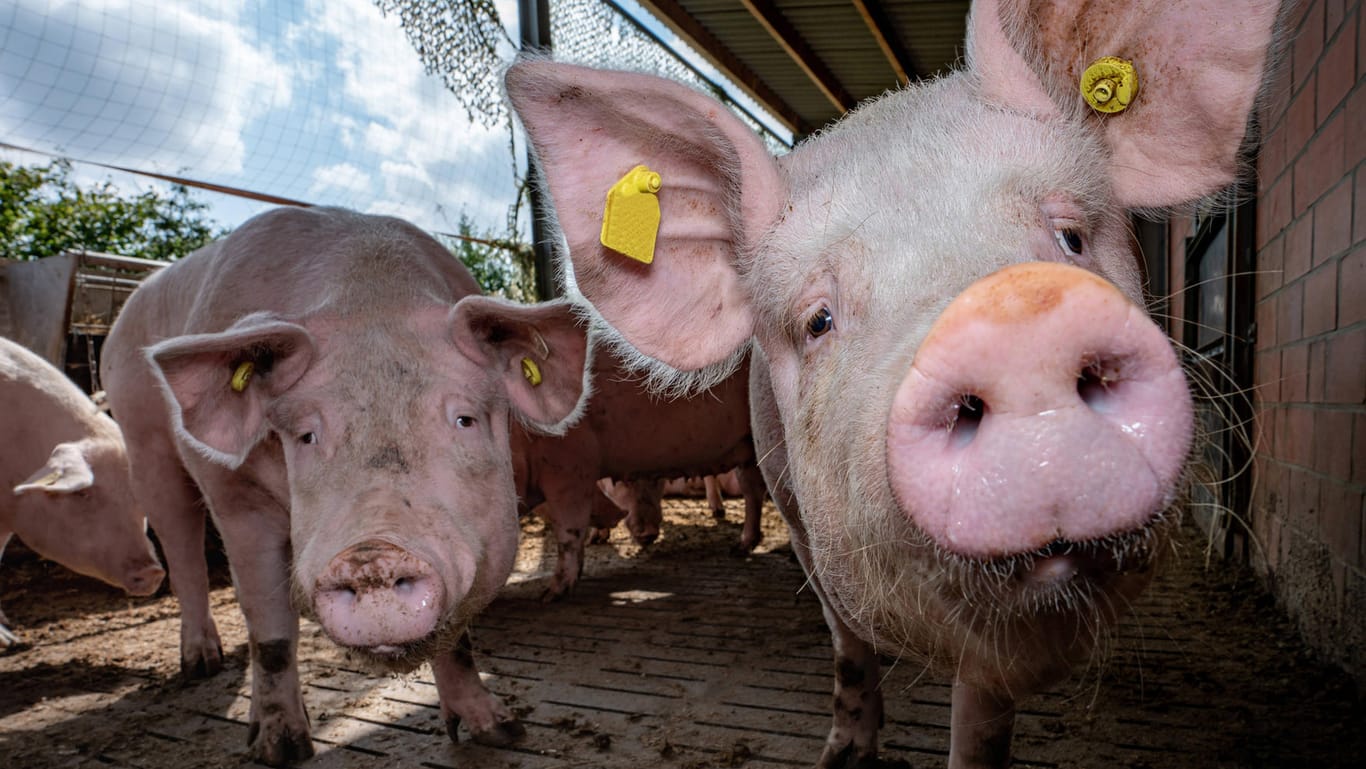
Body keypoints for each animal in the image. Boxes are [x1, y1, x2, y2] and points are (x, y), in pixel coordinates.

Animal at [96, 207, 587, 764]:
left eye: (464, 419)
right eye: (306, 435)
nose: (371, 557)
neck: (370, 299)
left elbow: (456, 637)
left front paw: (502, 731)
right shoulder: (235, 496)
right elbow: (270, 630)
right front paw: (280, 750)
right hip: (145, 445)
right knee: (183, 552)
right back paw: (200, 664)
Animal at [513, 349, 764, 600]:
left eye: (659, 483)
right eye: (619, 484)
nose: (648, 533)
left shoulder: (570, 462)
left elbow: (570, 526)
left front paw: (549, 596)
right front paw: (597, 538)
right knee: (752, 489)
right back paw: (740, 547)